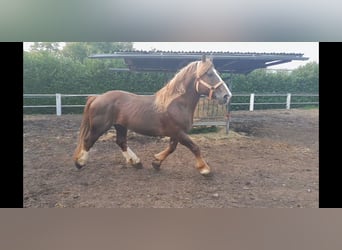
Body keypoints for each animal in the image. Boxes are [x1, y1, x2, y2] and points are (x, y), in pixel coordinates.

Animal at [73, 55, 231, 175]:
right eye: (210, 74)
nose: (226, 96)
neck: (176, 104)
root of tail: (97, 97)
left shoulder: (176, 133)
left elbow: (172, 148)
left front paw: (156, 162)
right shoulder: (178, 132)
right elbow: (194, 147)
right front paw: (204, 169)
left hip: (120, 126)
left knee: (121, 142)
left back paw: (136, 162)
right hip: (100, 127)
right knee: (88, 141)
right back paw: (80, 163)